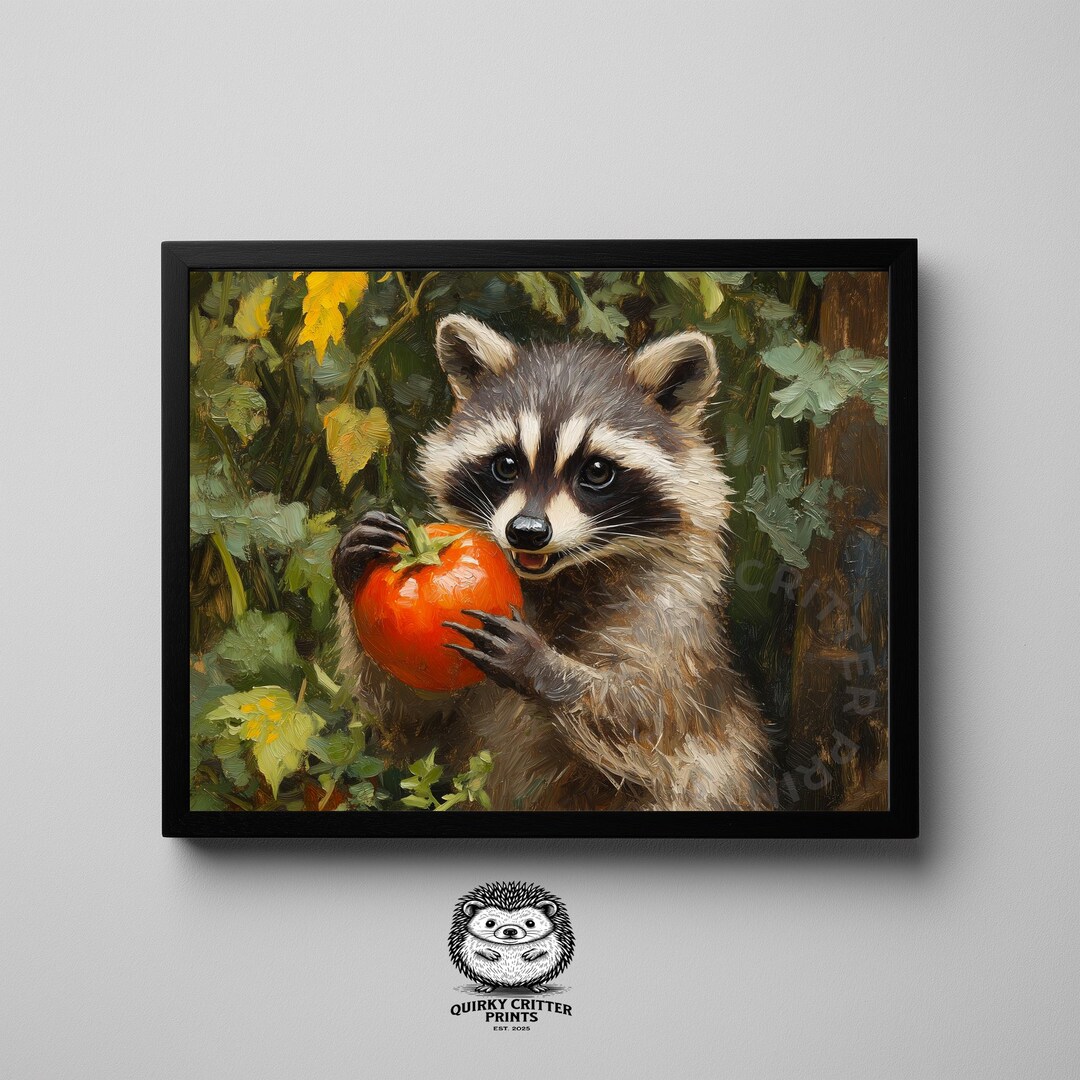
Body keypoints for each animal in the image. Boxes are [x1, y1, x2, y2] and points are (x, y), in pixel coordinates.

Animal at [333, 314, 774, 810]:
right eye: (506, 465)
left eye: (597, 471)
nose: (526, 531)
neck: (561, 578)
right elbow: (410, 719)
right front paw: (352, 565)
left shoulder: (671, 616)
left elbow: (649, 717)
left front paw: (542, 666)